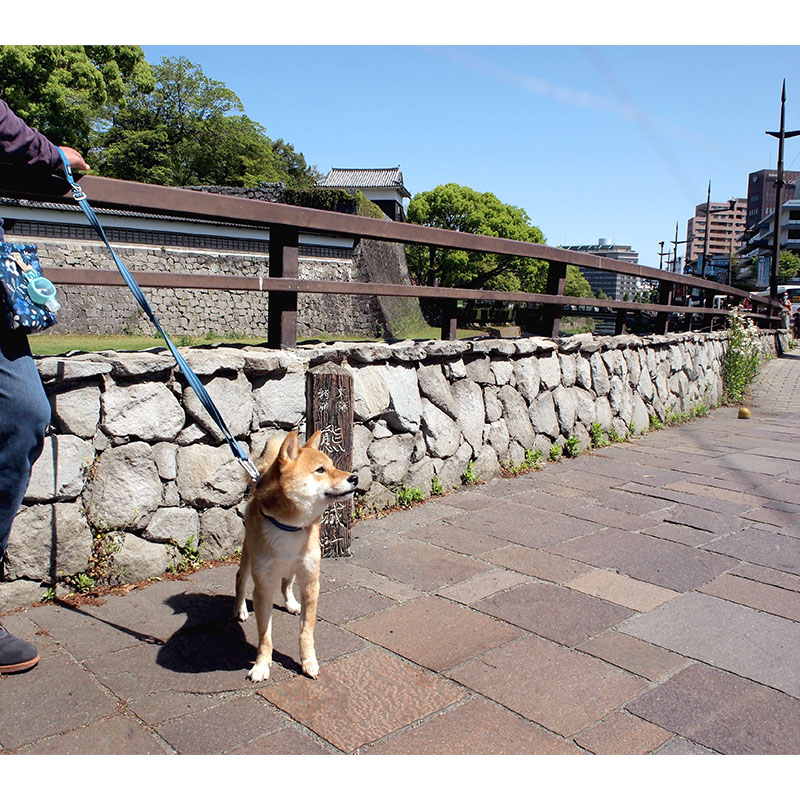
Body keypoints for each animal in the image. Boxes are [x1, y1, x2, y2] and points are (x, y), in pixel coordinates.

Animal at [236, 432, 358, 680]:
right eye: (320, 470)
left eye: (333, 465)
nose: (355, 477)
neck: (289, 527)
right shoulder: (263, 586)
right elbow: (265, 637)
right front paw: (261, 665)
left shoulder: (311, 581)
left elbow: (306, 631)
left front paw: (308, 661)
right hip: (248, 556)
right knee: (240, 580)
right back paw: (241, 609)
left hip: (294, 569)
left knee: (286, 585)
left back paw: (292, 603)